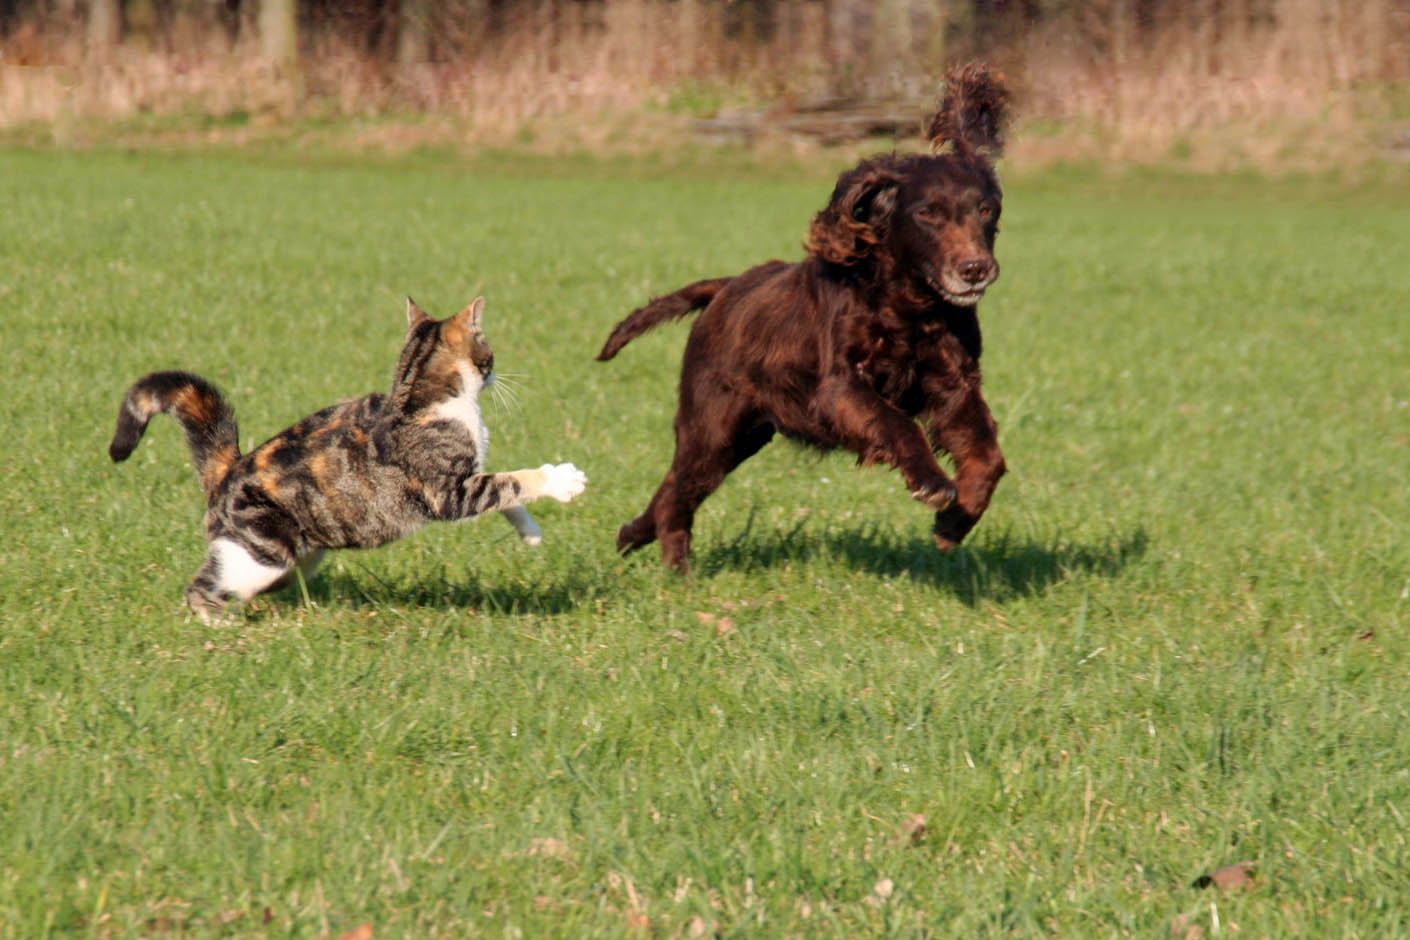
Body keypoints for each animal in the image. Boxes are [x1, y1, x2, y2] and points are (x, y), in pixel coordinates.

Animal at [107, 297, 586, 620]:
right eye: (488, 352)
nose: (494, 373)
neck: (418, 397)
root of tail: (229, 467)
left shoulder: (470, 476)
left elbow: (508, 499)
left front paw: (531, 533)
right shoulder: (449, 490)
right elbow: (512, 482)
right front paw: (562, 480)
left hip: (291, 559)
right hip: (260, 554)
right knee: (201, 588)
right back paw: (218, 627)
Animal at [600, 66, 1009, 574]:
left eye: (986, 210)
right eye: (928, 213)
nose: (975, 269)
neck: (912, 308)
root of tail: (726, 287)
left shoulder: (953, 384)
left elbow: (988, 458)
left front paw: (956, 521)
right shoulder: (841, 388)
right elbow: (898, 424)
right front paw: (932, 484)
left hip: (743, 436)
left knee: (673, 489)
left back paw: (633, 536)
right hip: (713, 428)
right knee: (679, 490)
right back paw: (678, 572)